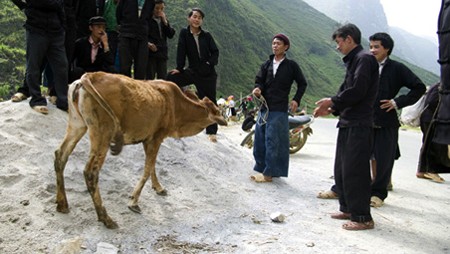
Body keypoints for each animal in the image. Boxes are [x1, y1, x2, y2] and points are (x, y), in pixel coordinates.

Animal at [54, 71, 227, 228]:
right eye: (217, 111)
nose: (224, 120)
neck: (178, 108)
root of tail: (88, 76)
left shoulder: (147, 138)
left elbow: (152, 166)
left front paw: (158, 187)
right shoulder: (157, 137)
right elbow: (147, 168)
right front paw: (134, 202)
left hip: (78, 125)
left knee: (60, 155)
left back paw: (62, 204)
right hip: (103, 133)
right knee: (90, 172)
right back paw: (105, 218)